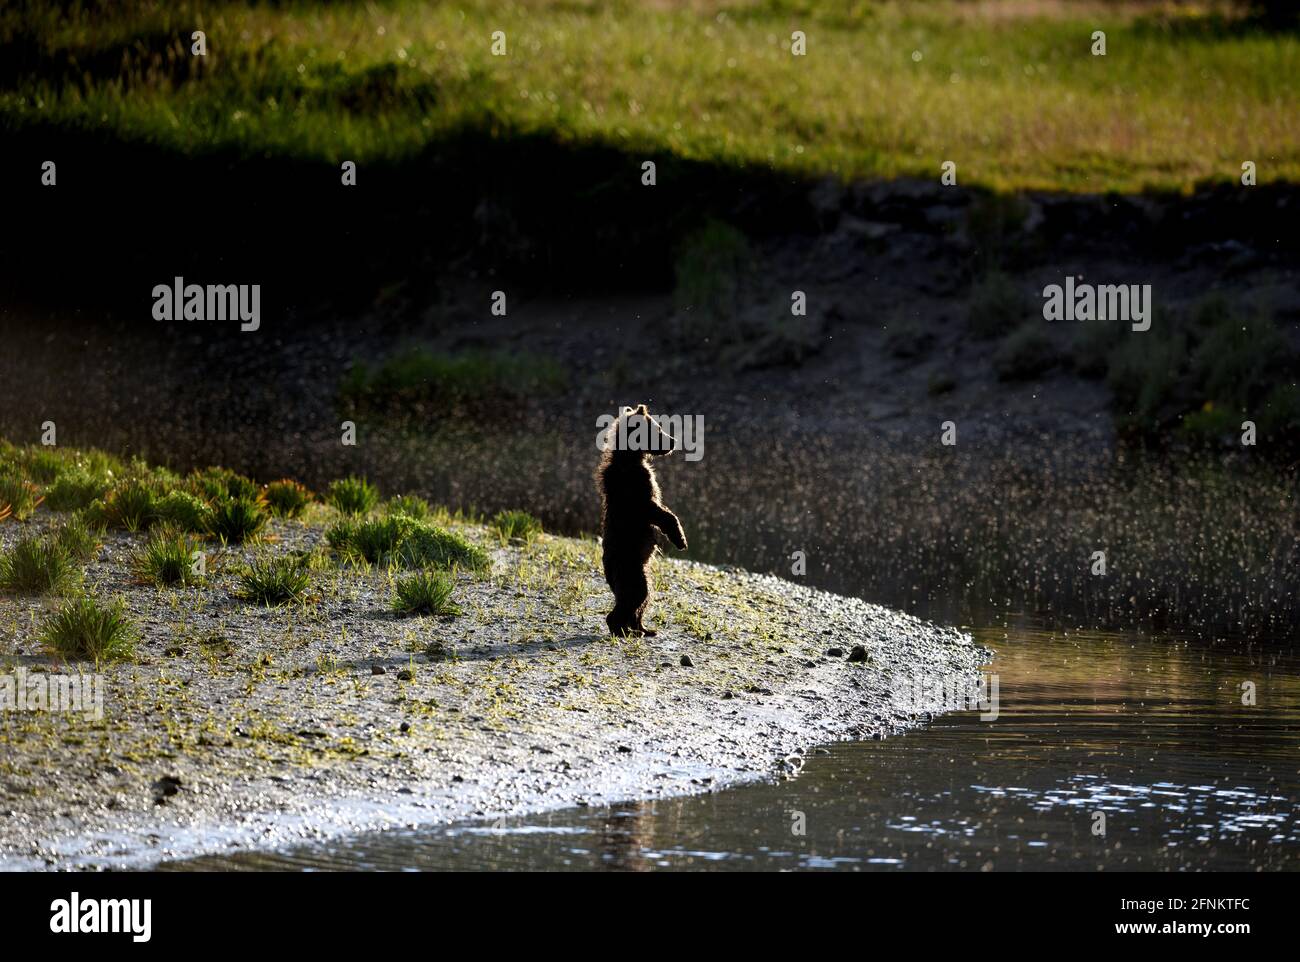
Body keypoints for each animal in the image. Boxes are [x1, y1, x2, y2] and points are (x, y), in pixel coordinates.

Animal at [596, 404, 688, 637]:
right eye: (658, 430)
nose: (673, 441)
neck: (631, 458)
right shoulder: (637, 491)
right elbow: (661, 513)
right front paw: (680, 539)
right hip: (630, 570)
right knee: (635, 597)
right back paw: (622, 629)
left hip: (640, 573)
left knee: (642, 600)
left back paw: (643, 628)